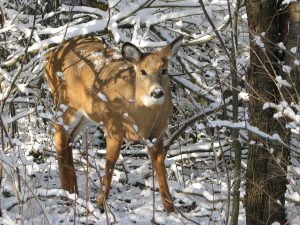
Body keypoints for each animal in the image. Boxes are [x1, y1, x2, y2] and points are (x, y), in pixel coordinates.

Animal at [43, 34, 182, 214]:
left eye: (164, 70)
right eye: (142, 71)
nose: (157, 92)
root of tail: (51, 55)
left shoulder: (158, 134)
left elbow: (160, 166)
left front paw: (170, 207)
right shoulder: (113, 125)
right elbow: (110, 162)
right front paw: (100, 204)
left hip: (87, 115)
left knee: (68, 139)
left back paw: (73, 190)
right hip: (66, 101)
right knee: (59, 134)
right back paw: (67, 192)